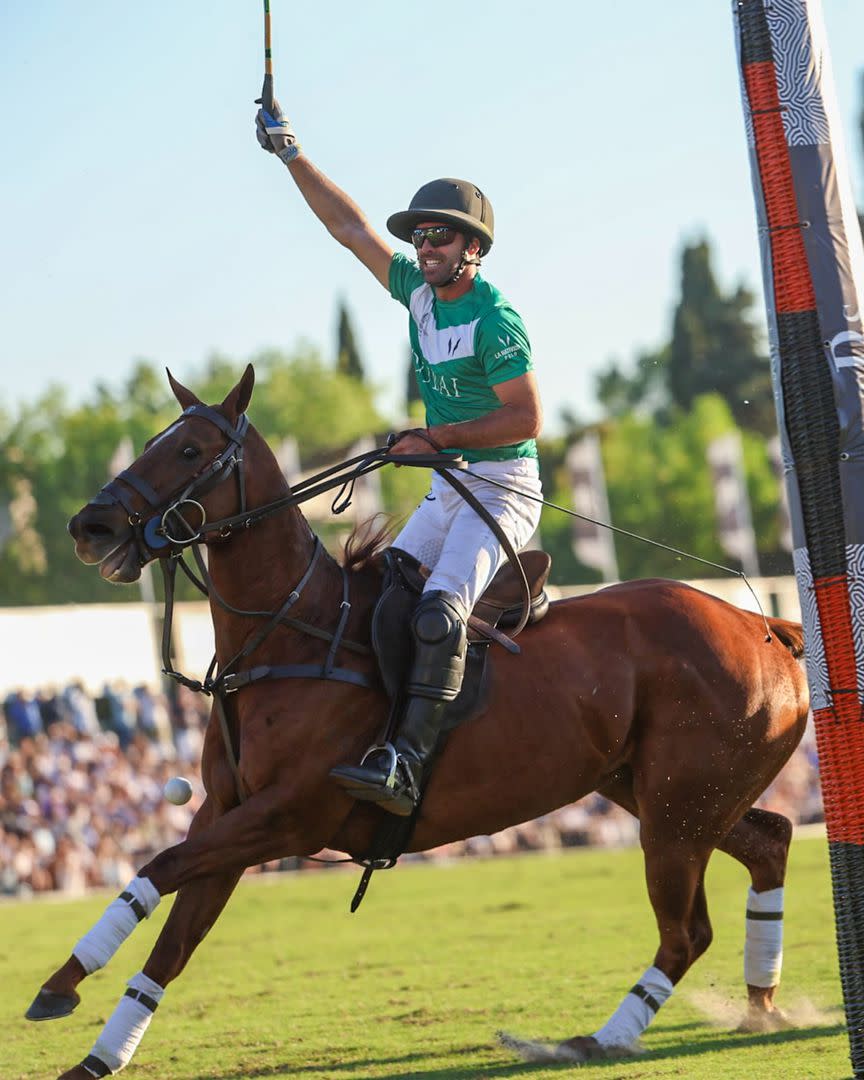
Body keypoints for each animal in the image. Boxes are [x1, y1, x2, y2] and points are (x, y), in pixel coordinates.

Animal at [28, 367, 812, 1075]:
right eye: (153, 442)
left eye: (190, 450)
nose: (89, 525)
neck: (291, 635)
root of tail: (766, 626)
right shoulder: (227, 811)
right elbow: (171, 939)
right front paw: (88, 1043)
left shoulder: (289, 816)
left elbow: (159, 863)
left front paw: (59, 985)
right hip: (663, 792)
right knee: (769, 842)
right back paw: (761, 1002)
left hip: (678, 809)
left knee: (686, 933)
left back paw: (602, 1038)